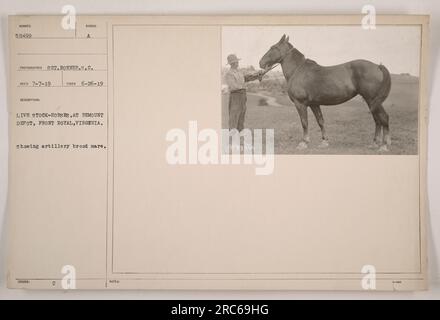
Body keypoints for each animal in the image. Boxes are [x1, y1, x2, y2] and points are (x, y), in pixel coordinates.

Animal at [258, 33, 392, 151]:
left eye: (273, 47)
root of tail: (378, 66)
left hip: (372, 100)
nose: (261, 63)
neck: (297, 70)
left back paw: (384, 145)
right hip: (371, 102)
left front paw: (304, 143)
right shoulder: (314, 104)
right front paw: (324, 142)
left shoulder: (300, 104)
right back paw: (374, 143)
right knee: (377, 120)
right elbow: (320, 121)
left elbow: (304, 122)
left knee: (383, 117)